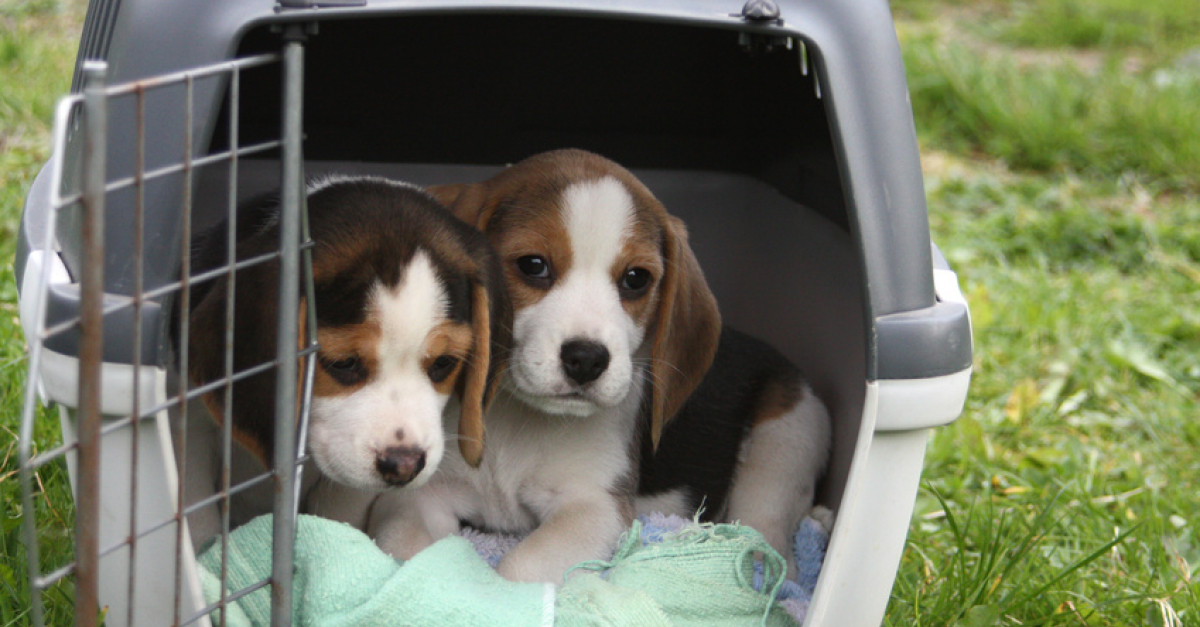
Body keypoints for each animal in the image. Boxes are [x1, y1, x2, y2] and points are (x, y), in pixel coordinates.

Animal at [369, 148, 830, 583]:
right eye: (532, 265)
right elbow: (405, 547)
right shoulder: (420, 492)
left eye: (636, 279)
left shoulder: (595, 507)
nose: (587, 359)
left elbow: (521, 567)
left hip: (784, 446)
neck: (516, 420)